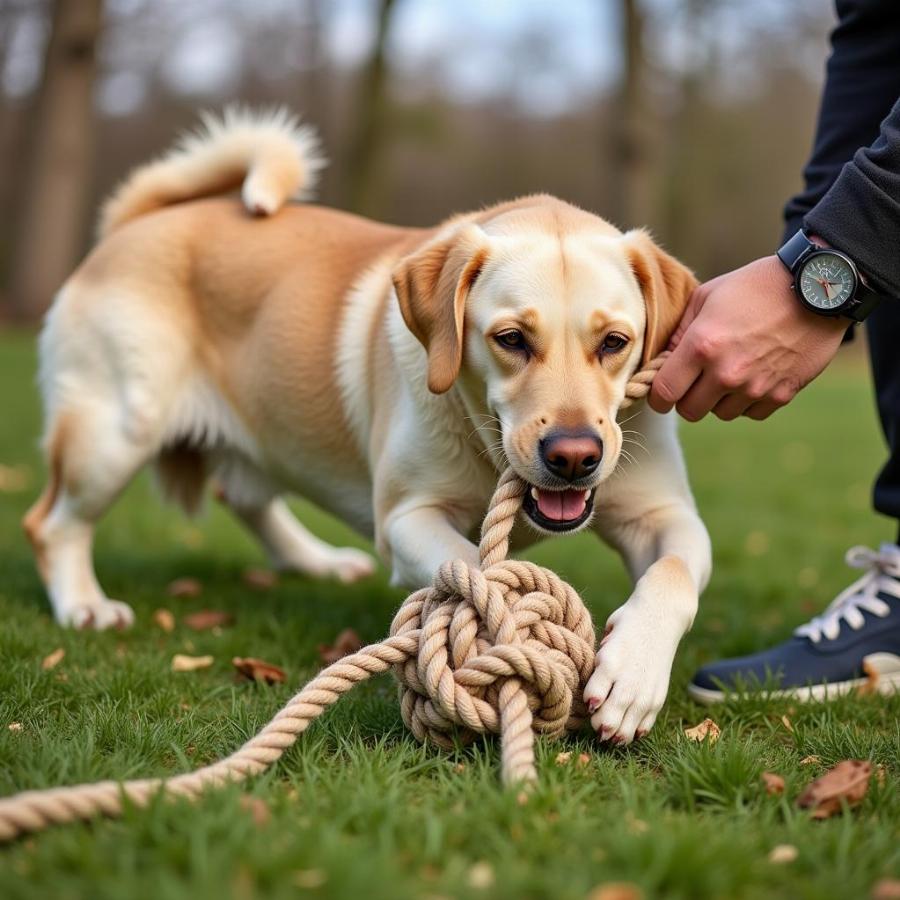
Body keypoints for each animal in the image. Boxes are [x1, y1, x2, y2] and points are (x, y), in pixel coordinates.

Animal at [24, 109, 712, 740]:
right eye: (512, 339)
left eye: (615, 342)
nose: (573, 456)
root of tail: (137, 222)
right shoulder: (407, 516)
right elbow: (469, 567)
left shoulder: (664, 514)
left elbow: (674, 575)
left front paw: (632, 674)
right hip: (116, 432)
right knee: (52, 523)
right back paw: (85, 604)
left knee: (243, 495)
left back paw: (318, 562)